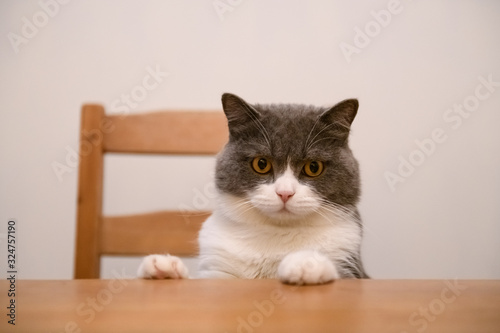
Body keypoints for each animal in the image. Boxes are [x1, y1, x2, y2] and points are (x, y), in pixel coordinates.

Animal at [139, 92, 370, 282]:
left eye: (313, 167)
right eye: (261, 164)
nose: (284, 193)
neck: (276, 235)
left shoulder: (351, 265)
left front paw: (306, 263)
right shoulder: (217, 269)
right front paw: (165, 267)